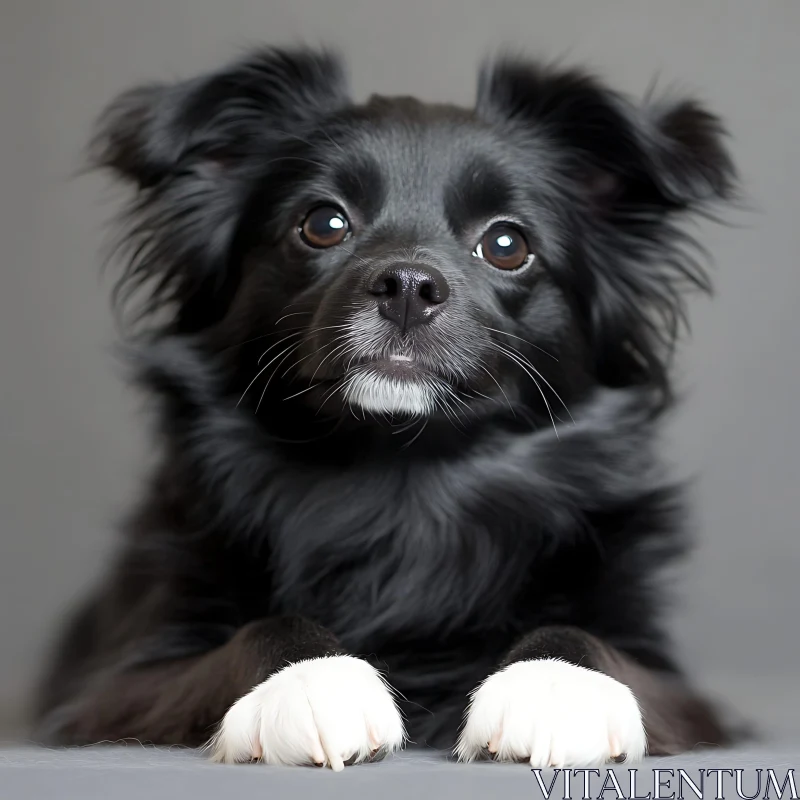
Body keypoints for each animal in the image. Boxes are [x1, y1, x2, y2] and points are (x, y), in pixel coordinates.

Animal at [36, 48, 736, 768]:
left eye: (507, 244)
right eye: (323, 223)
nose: (406, 285)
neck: (402, 471)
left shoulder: (680, 689)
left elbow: (586, 637)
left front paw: (555, 685)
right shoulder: (112, 689)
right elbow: (251, 636)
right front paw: (310, 679)